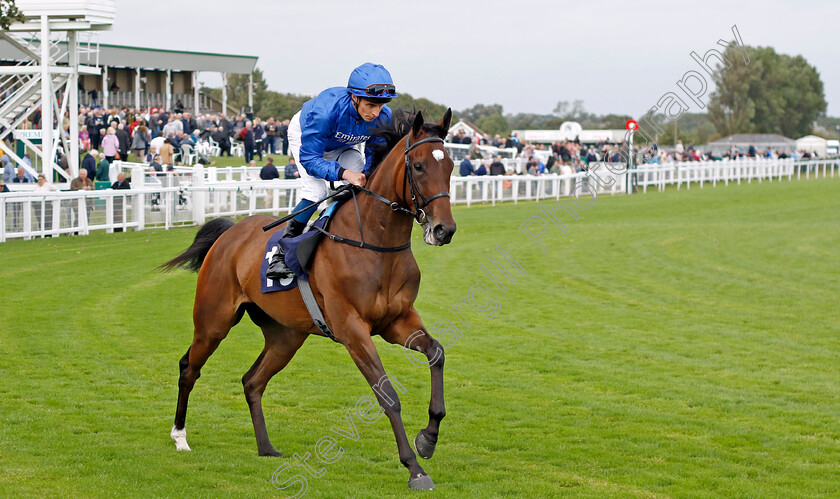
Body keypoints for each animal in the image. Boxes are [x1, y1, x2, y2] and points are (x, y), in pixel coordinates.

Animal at [162, 110, 456, 492]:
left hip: (286, 335)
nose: (444, 230)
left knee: (252, 381)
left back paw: (266, 447)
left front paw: (428, 438)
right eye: (418, 166)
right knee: (189, 368)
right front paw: (415, 469)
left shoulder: (397, 321)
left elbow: (437, 353)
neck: (375, 245)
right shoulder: (352, 330)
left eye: (450, 165)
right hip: (213, 321)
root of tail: (230, 232)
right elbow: (388, 395)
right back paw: (180, 437)